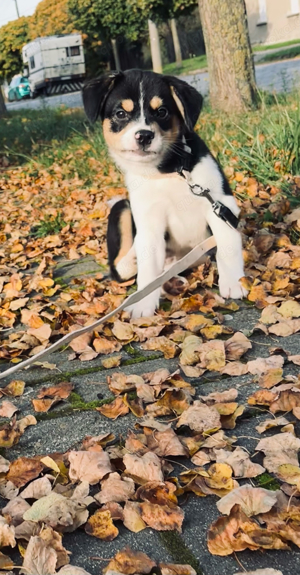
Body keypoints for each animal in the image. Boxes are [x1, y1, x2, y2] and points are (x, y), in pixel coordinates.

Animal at [82, 71, 248, 320]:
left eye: (162, 112)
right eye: (121, 114)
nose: (144, 135)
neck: (167, 171)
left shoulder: (220, 204)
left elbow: (227, 244)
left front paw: (234, 282)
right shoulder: (149, 222)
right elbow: (148, 269)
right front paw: (143, 304)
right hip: (122, 207)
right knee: (121, 267)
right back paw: (135, 259)